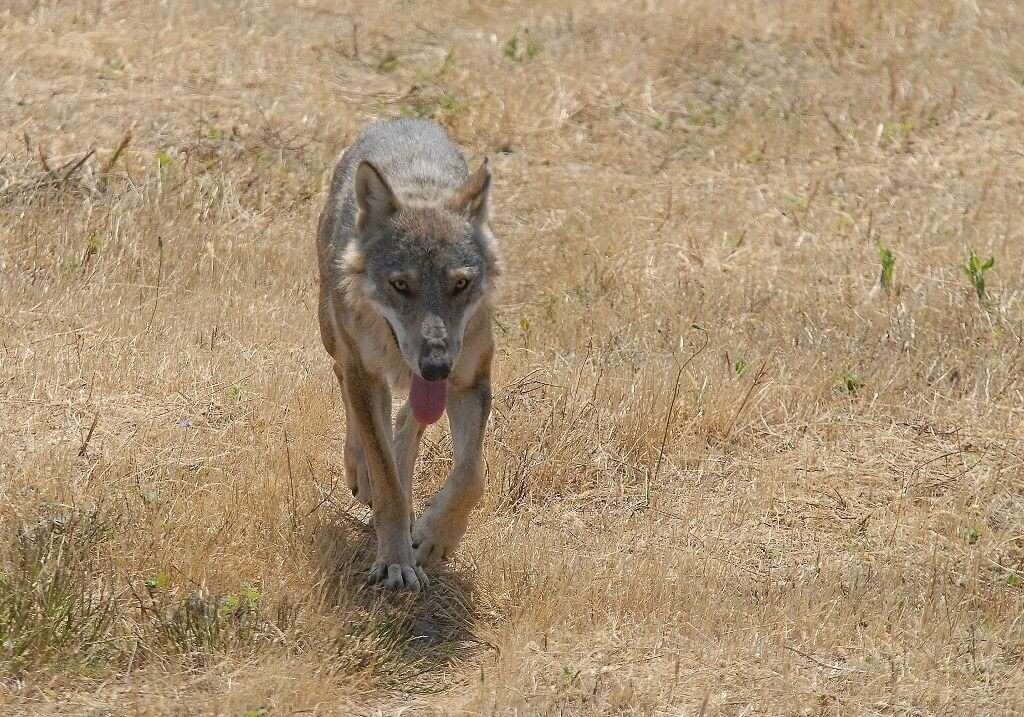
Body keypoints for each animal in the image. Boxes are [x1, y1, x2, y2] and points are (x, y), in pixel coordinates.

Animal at [316, 118, 500, 591]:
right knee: (346, 387)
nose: (435, 366)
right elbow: (387, 485)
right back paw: (360, 470)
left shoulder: (470, 379)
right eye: (401, 285)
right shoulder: (365, 373)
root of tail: (400, 119)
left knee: (406, 423)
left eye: (460, 284)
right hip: (334, 338)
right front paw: (396, 561)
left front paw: (435, 539)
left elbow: (471, 475)